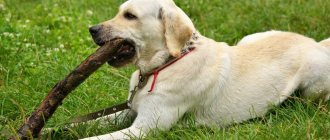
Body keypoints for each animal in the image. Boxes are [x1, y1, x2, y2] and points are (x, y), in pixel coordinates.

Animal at [80, 0, 330, 139]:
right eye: (120, 12)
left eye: (130, 16)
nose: (92, 29)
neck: (167, 63)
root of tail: (317, 43)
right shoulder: (132, 111)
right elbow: (92, 123)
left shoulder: (143, 128)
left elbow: (94, 138)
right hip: (249, 38)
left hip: (312, 85)